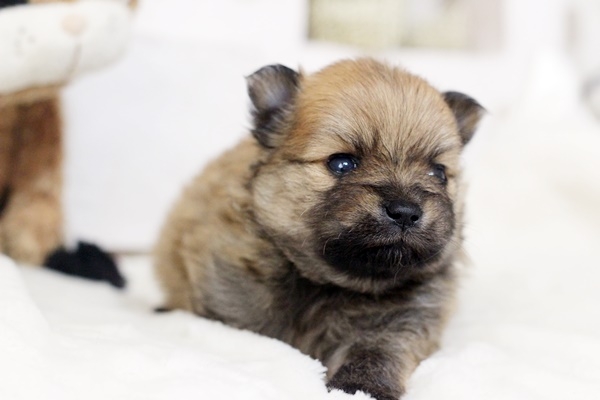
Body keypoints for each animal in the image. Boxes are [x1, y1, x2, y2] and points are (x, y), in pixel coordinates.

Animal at [154, 58, 484, 399]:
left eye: (439, 173)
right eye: (342, 164)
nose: (405, 212)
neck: (331, 284)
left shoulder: (404, 321)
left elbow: (377, 354)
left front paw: (360, 386)